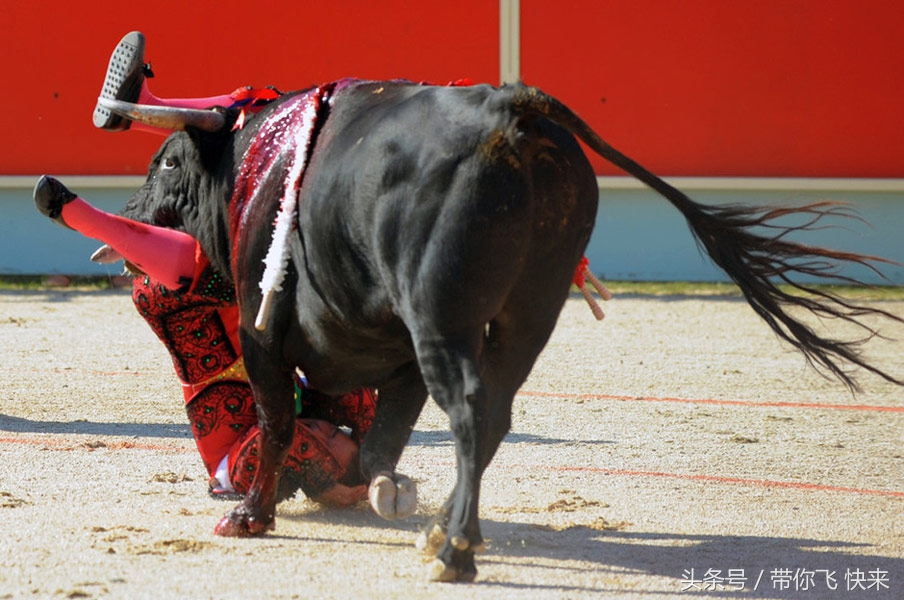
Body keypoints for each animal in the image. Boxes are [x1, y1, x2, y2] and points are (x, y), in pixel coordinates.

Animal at [47, 77, 896, 580]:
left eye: (164, 163)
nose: (127, 216)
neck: (260, 163)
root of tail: (514, 111)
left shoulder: (267, 336)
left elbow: (279, 418)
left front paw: (251, 515)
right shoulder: (393, 354)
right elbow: (384, 433)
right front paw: (379, 486)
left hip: (441, 312)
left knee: (467, 406)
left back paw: (454, 549)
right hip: (529, 309)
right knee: (493, 411)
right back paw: (448, 531)